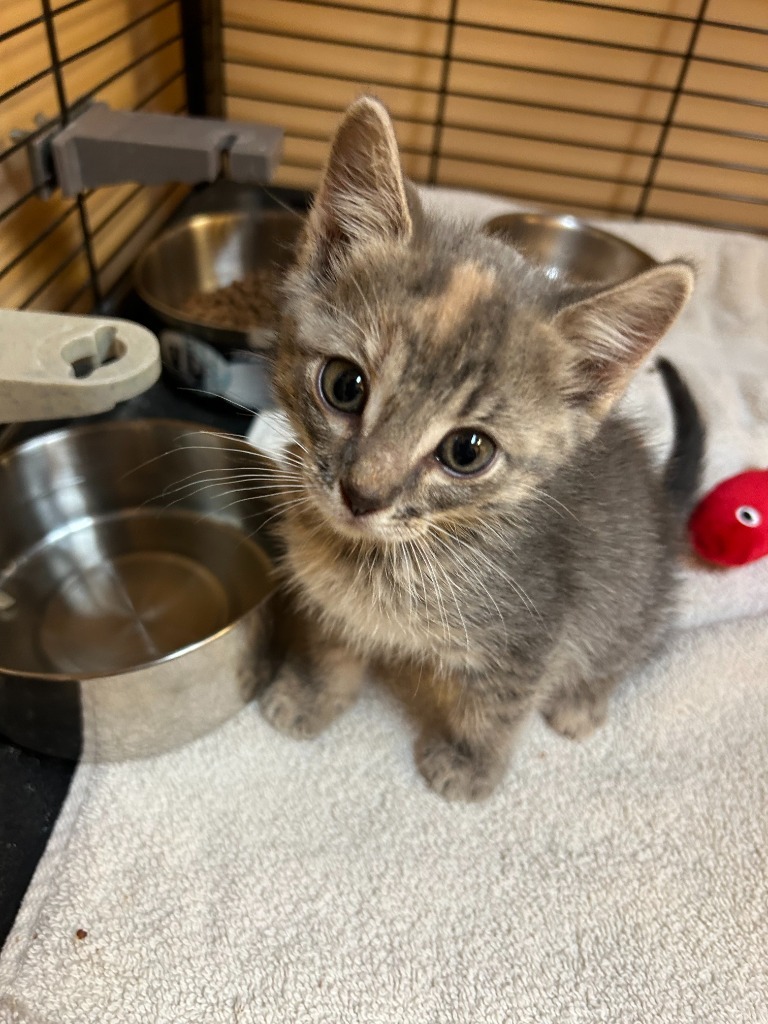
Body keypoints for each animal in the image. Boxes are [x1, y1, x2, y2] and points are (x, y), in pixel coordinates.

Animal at [259, 96, 704, 798]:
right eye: (343, 385)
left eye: (467, 452)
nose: (362, 494)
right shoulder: (329, 601)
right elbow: (330, 649)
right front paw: (309, 696)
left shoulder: (535, 630)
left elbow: (498, 704)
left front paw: (469, 766)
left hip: (631, 600)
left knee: (628, 647)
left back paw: (582, 701)